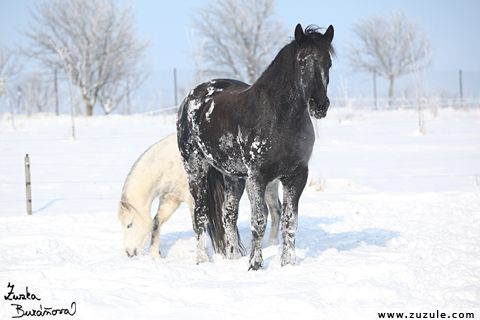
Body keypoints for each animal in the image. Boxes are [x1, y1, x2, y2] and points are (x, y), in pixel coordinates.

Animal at [119, 134, 282, 258]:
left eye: (129, 224)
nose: (128, 252)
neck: (168, 164)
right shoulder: (170, 201)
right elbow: (156, 223)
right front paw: (155, 255)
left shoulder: (193, 199)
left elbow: (197, 227)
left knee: (274, 211)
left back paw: (271, 244)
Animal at [176, 23, 334, 272]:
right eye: (302, 61)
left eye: (328, 63)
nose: (319, 105)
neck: (278, 119)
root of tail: (192, 97)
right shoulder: (257, 177)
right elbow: (258, 221)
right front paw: (255, 265)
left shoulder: (296, 176)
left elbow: (290, 220)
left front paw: (288, 264)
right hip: (195, 169)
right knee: (200, 214)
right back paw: (202, 259)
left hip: (233, 176)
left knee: (228, 215)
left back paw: (232, 257)